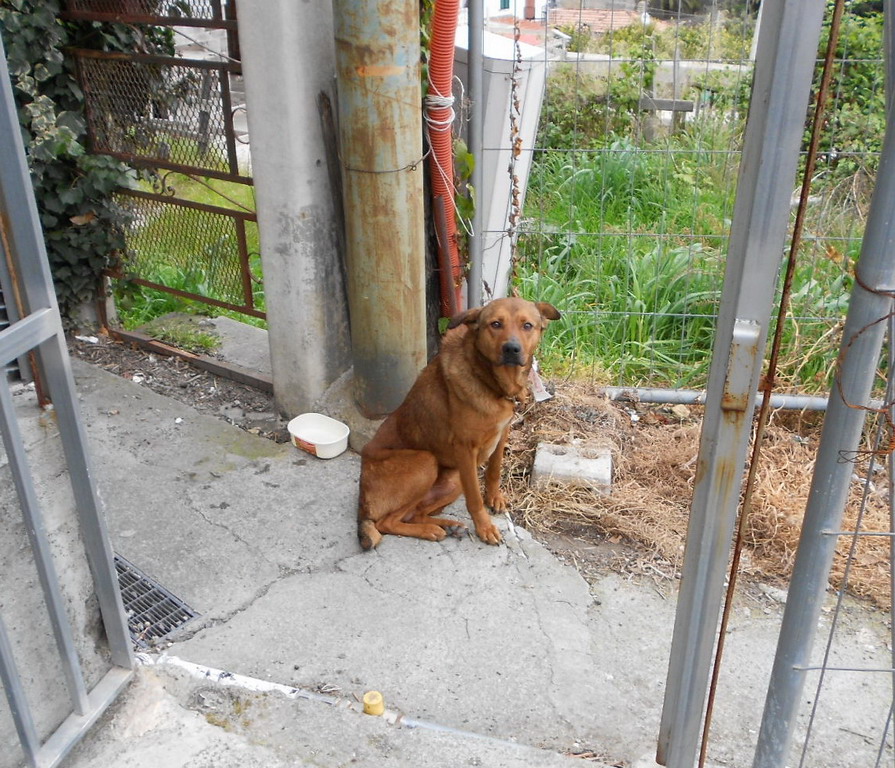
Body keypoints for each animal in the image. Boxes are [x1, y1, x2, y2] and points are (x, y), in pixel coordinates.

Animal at [356, 296, 560, 548]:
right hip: (427, 462)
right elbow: (474, 499)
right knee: (386, 522)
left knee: (414, 513)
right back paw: (430, 531)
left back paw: (447, 526)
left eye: (527, 326)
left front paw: (494, 497)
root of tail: (362, 505)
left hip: (454, 479)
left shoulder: (501, 433)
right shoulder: (465, 448)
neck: (489, 382)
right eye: (495, 324)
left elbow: (494, 470)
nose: (511, 349)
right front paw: (485, 528)